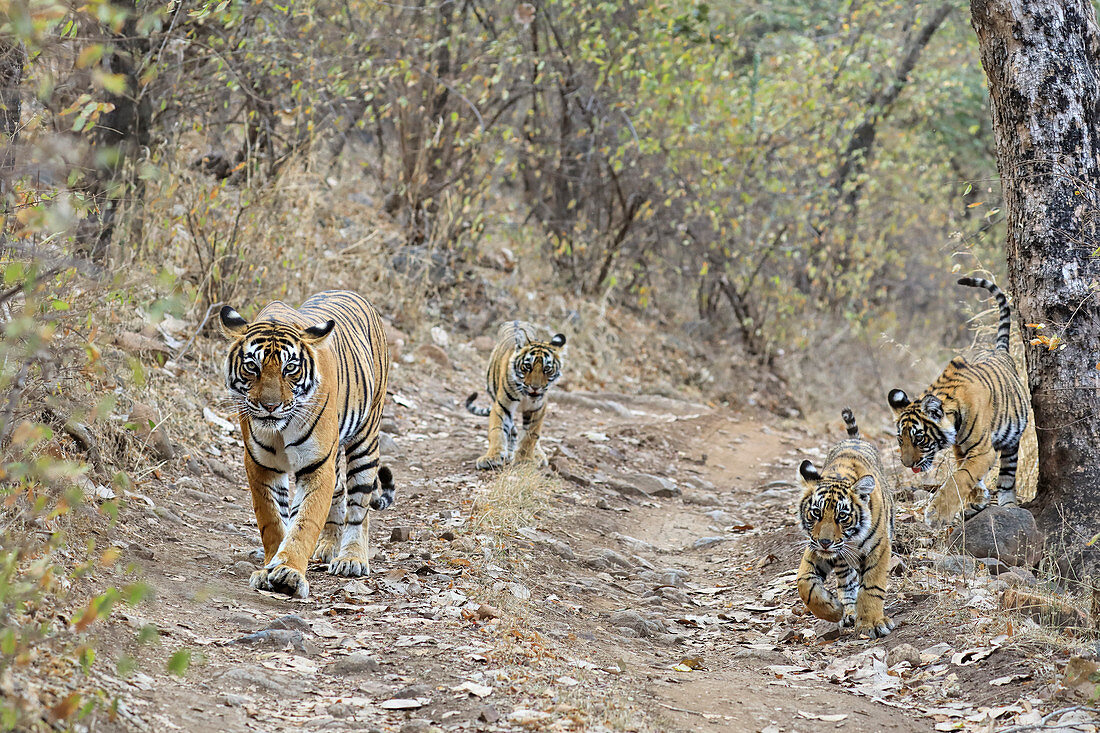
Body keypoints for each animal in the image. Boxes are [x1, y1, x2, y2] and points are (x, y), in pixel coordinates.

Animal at [216, 288, 393, 598]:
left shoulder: (316, 465)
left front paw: (288, 572)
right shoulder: (261, 466)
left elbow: (305, 522)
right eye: (252, 366)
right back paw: (328, 546)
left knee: (359, 504)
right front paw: (269, 569)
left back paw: (352, 558)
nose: (270, 406)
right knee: (339, 492)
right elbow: (273, 521)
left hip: (366, 440)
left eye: (290, 368)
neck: (279, 429)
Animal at [466, 319, 567, 468]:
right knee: (512, 430)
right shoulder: (502, 405)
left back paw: (537, 455)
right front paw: (492, 457)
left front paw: (525, 459)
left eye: (547, 369)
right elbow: (497, 430)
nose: (535, 388)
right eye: (528, 366)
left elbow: (531, 436)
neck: (525, 395)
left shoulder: (537, 409)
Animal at [800, 405, 893, 633]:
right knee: (847, 581)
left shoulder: (879, 547)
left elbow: (872, 585)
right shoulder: (814, 548)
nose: (825, 542)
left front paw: (871, 622)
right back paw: (849, 612)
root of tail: (855, 440)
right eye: (816, 513)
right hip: (842, 562)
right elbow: (804, 583)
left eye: (842, 516)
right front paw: (833, 611)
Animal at [888, 275, 1025, 526]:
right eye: (900, 440)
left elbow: (959, 479)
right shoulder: (960, 450)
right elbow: (969, 475)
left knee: (1007, 475)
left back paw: (1009, 504)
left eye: (919, 438)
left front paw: (936, 513)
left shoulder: (982, 451)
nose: (907, 464)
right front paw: (977, 500)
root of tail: (999, 350)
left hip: (1012, 441)